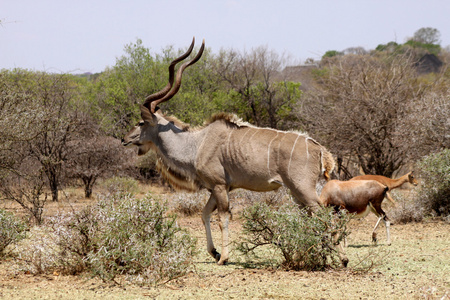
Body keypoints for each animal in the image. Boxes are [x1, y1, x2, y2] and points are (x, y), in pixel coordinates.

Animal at [121, 37, 340, 264]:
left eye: (140, 122)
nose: (124, 139)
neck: (197, 143)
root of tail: (319, 148)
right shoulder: (217, 188)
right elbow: (204, 214)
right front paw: (214, 252)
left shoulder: (219, 186)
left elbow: (223, 217)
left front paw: (223, 257)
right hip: (296, 192)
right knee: (314, 216)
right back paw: (310, 255)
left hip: (303, 189)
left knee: (326, 214)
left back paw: (336, 259)